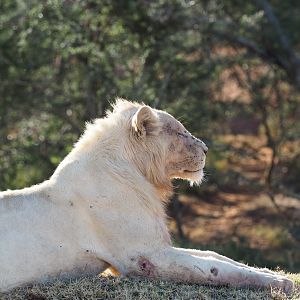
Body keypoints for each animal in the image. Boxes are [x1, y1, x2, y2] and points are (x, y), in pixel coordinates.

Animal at [0, 99, 292, 292]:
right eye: (180, 132)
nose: (207, 149)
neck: (140, 174)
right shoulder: (147, 257)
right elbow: (214, 269)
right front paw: (280, 283)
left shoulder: (158, 244)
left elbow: (216, 255)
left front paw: (267, 272)